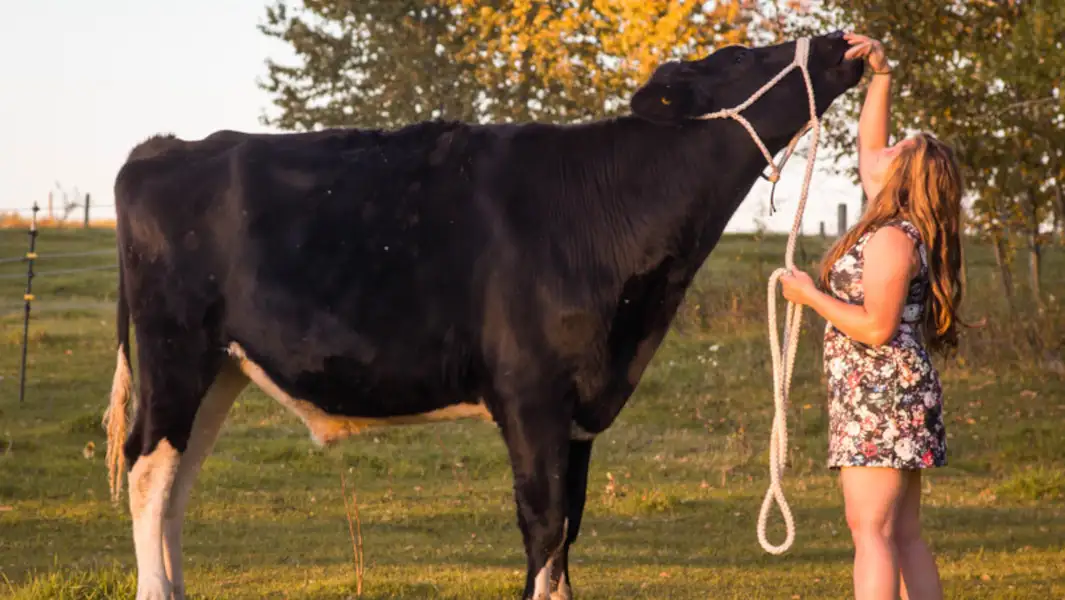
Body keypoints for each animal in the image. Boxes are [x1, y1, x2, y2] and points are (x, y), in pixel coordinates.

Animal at [103, 31, 860, 600]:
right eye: (739, 56)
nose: (836, 43)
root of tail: (164, 147)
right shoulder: (530, 393)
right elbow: (543, 524)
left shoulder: (579, 408)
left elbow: (567, 529)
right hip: (174, 351)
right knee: (148, 472)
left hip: (221, 368)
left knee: (178, 480)